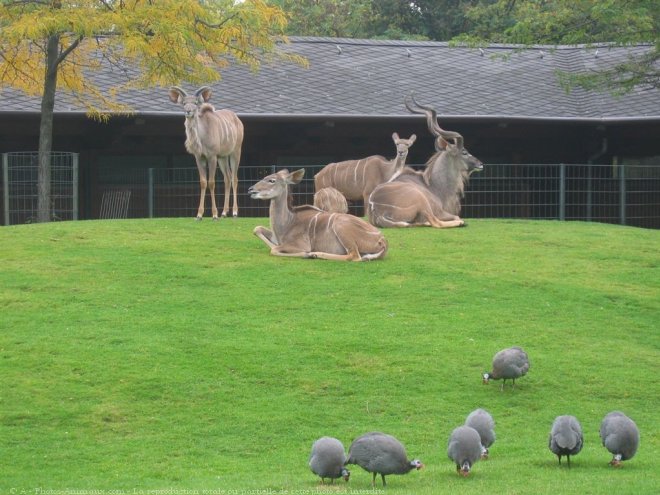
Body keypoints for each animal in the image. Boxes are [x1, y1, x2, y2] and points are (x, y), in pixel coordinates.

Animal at [169, 86, 244, 221]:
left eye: (195, 103)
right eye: (184, 103)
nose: (188, 111)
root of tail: (238, 119)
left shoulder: (212, 157)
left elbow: (211, 182)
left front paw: (214, 215)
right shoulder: (199, 158)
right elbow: (203, 182)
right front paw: (199, 215)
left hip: (235, 152)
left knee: (234, 178)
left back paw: (234, 213)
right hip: (223, 157)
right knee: (227, 178)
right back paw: (224, 213)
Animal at [250, 170, 390, 264]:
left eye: (271, 180)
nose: (251, 190)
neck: (288, 222)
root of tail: (382, 241)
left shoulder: (300, 245)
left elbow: (274, 249)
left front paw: (306, 254)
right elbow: (257, 229)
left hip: (341, 226)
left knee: (353, 256)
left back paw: (316, 254)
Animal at [366, 96, 484, 230]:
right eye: (464, 152)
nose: (480, 164)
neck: (434, 185)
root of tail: (375, 207)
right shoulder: (440, 211)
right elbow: (456, 217)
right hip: (422, 201)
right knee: (437, 222)